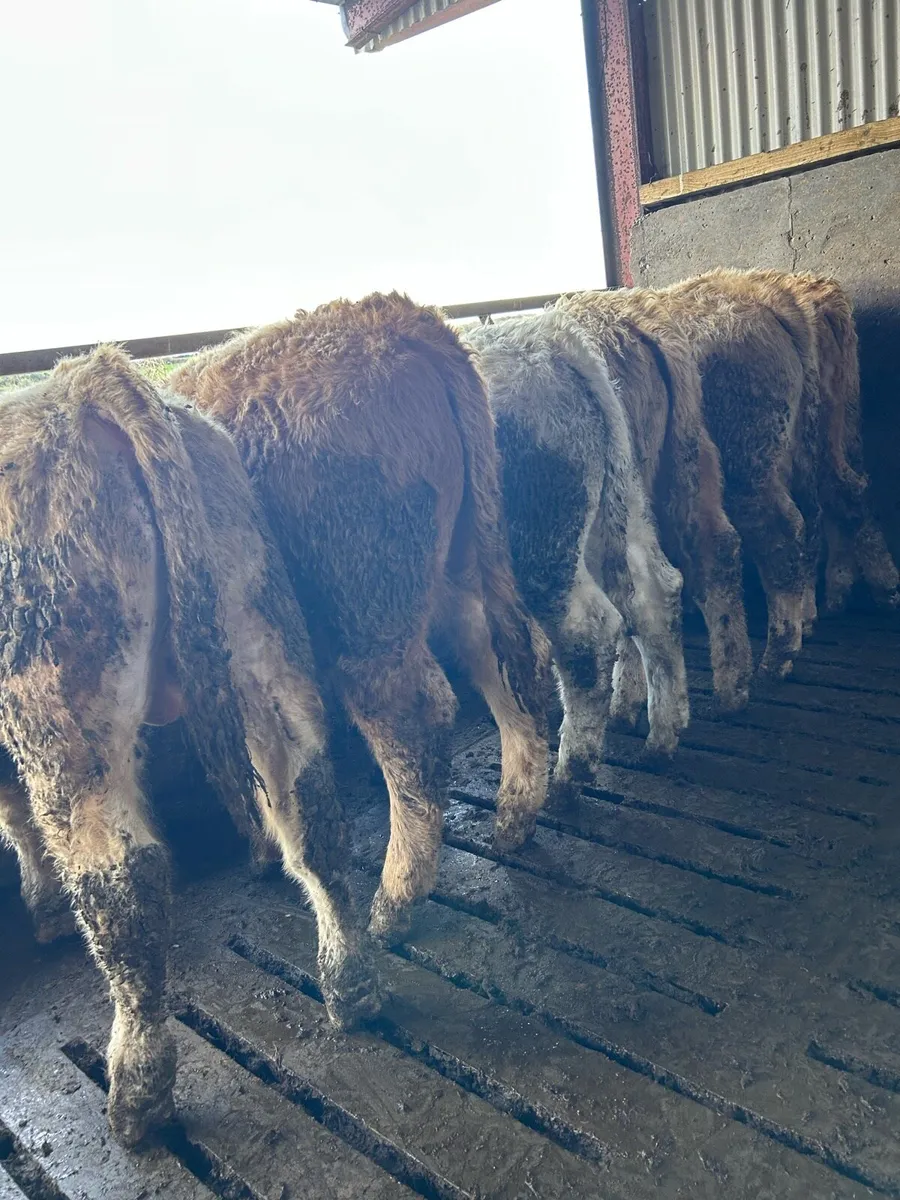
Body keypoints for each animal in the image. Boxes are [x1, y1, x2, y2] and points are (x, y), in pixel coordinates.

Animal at [0, 347, 378, 1147]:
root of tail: (81, 384)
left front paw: (42, 908)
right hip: (258, 625)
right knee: (310, 805)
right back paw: (350, 984)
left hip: (59, 718)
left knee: (123, 881)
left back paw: (137, 1093)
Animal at [169, 292, 554, 938]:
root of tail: (393, 317)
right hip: (460, 566)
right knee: (506, 659)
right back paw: (513, 819)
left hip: (367, 618)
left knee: (415, 717)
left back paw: (392, 904)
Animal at [461, 308, 689, 799]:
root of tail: (548, 339)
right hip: (621, 504)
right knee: (656, 592)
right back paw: (663, 736)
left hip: (539, 538)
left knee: (590, 630)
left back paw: (570, 775)